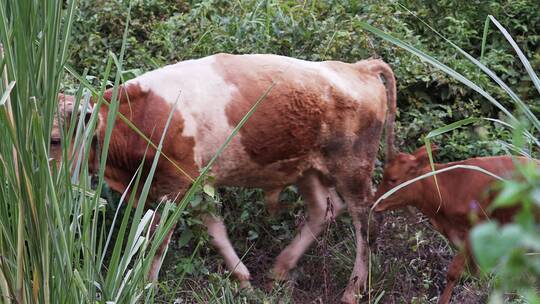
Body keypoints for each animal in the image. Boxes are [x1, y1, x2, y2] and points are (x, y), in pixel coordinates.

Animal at [51, 53, 396, 302]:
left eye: (55, 139)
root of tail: (358, 67)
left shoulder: (175, 187)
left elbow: (159, 242)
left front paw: (144, 288)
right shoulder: (193, 185)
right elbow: (216, 230)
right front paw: (243, 280)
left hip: (353, 166)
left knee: (363, 220)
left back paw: (352, 290)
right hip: (306, 167)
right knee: (324, 209)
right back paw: (280, 269)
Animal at [376, 146, 536, 302]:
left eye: (393, 179)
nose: (374, 202)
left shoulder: (475, 228)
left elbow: (454, 271)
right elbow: (474, 267)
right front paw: (480, 284)